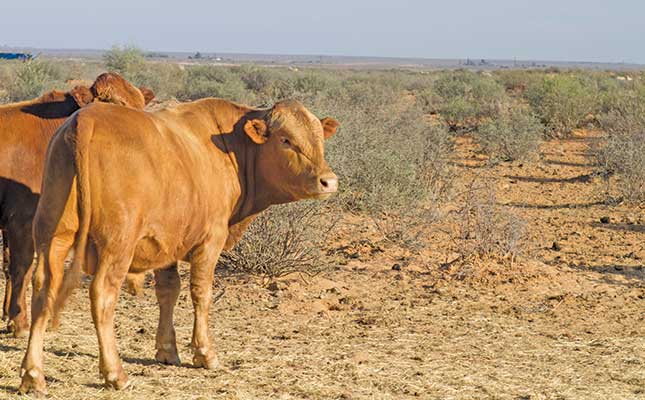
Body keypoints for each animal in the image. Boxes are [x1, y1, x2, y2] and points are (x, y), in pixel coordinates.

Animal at [0, 72, 153, 338]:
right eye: (113, 105)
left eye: (140, 106)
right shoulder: (22, 219)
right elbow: (22, 268)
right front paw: (19, 322)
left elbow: (9, 266)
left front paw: (8, 316)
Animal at [17, 97, 340, 394]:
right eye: (286, 140)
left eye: (319, 139)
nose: (328, 181)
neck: (231, 148)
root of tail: (86, 119)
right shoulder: (210, 240)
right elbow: (201, 293)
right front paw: (204, 353)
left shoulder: (166, 243)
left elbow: (168, 291)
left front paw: (167, 349)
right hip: (117, 244)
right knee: (102, 295)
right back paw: (114, 373)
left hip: (52, 235)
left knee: (43, 291)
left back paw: (33, 374)